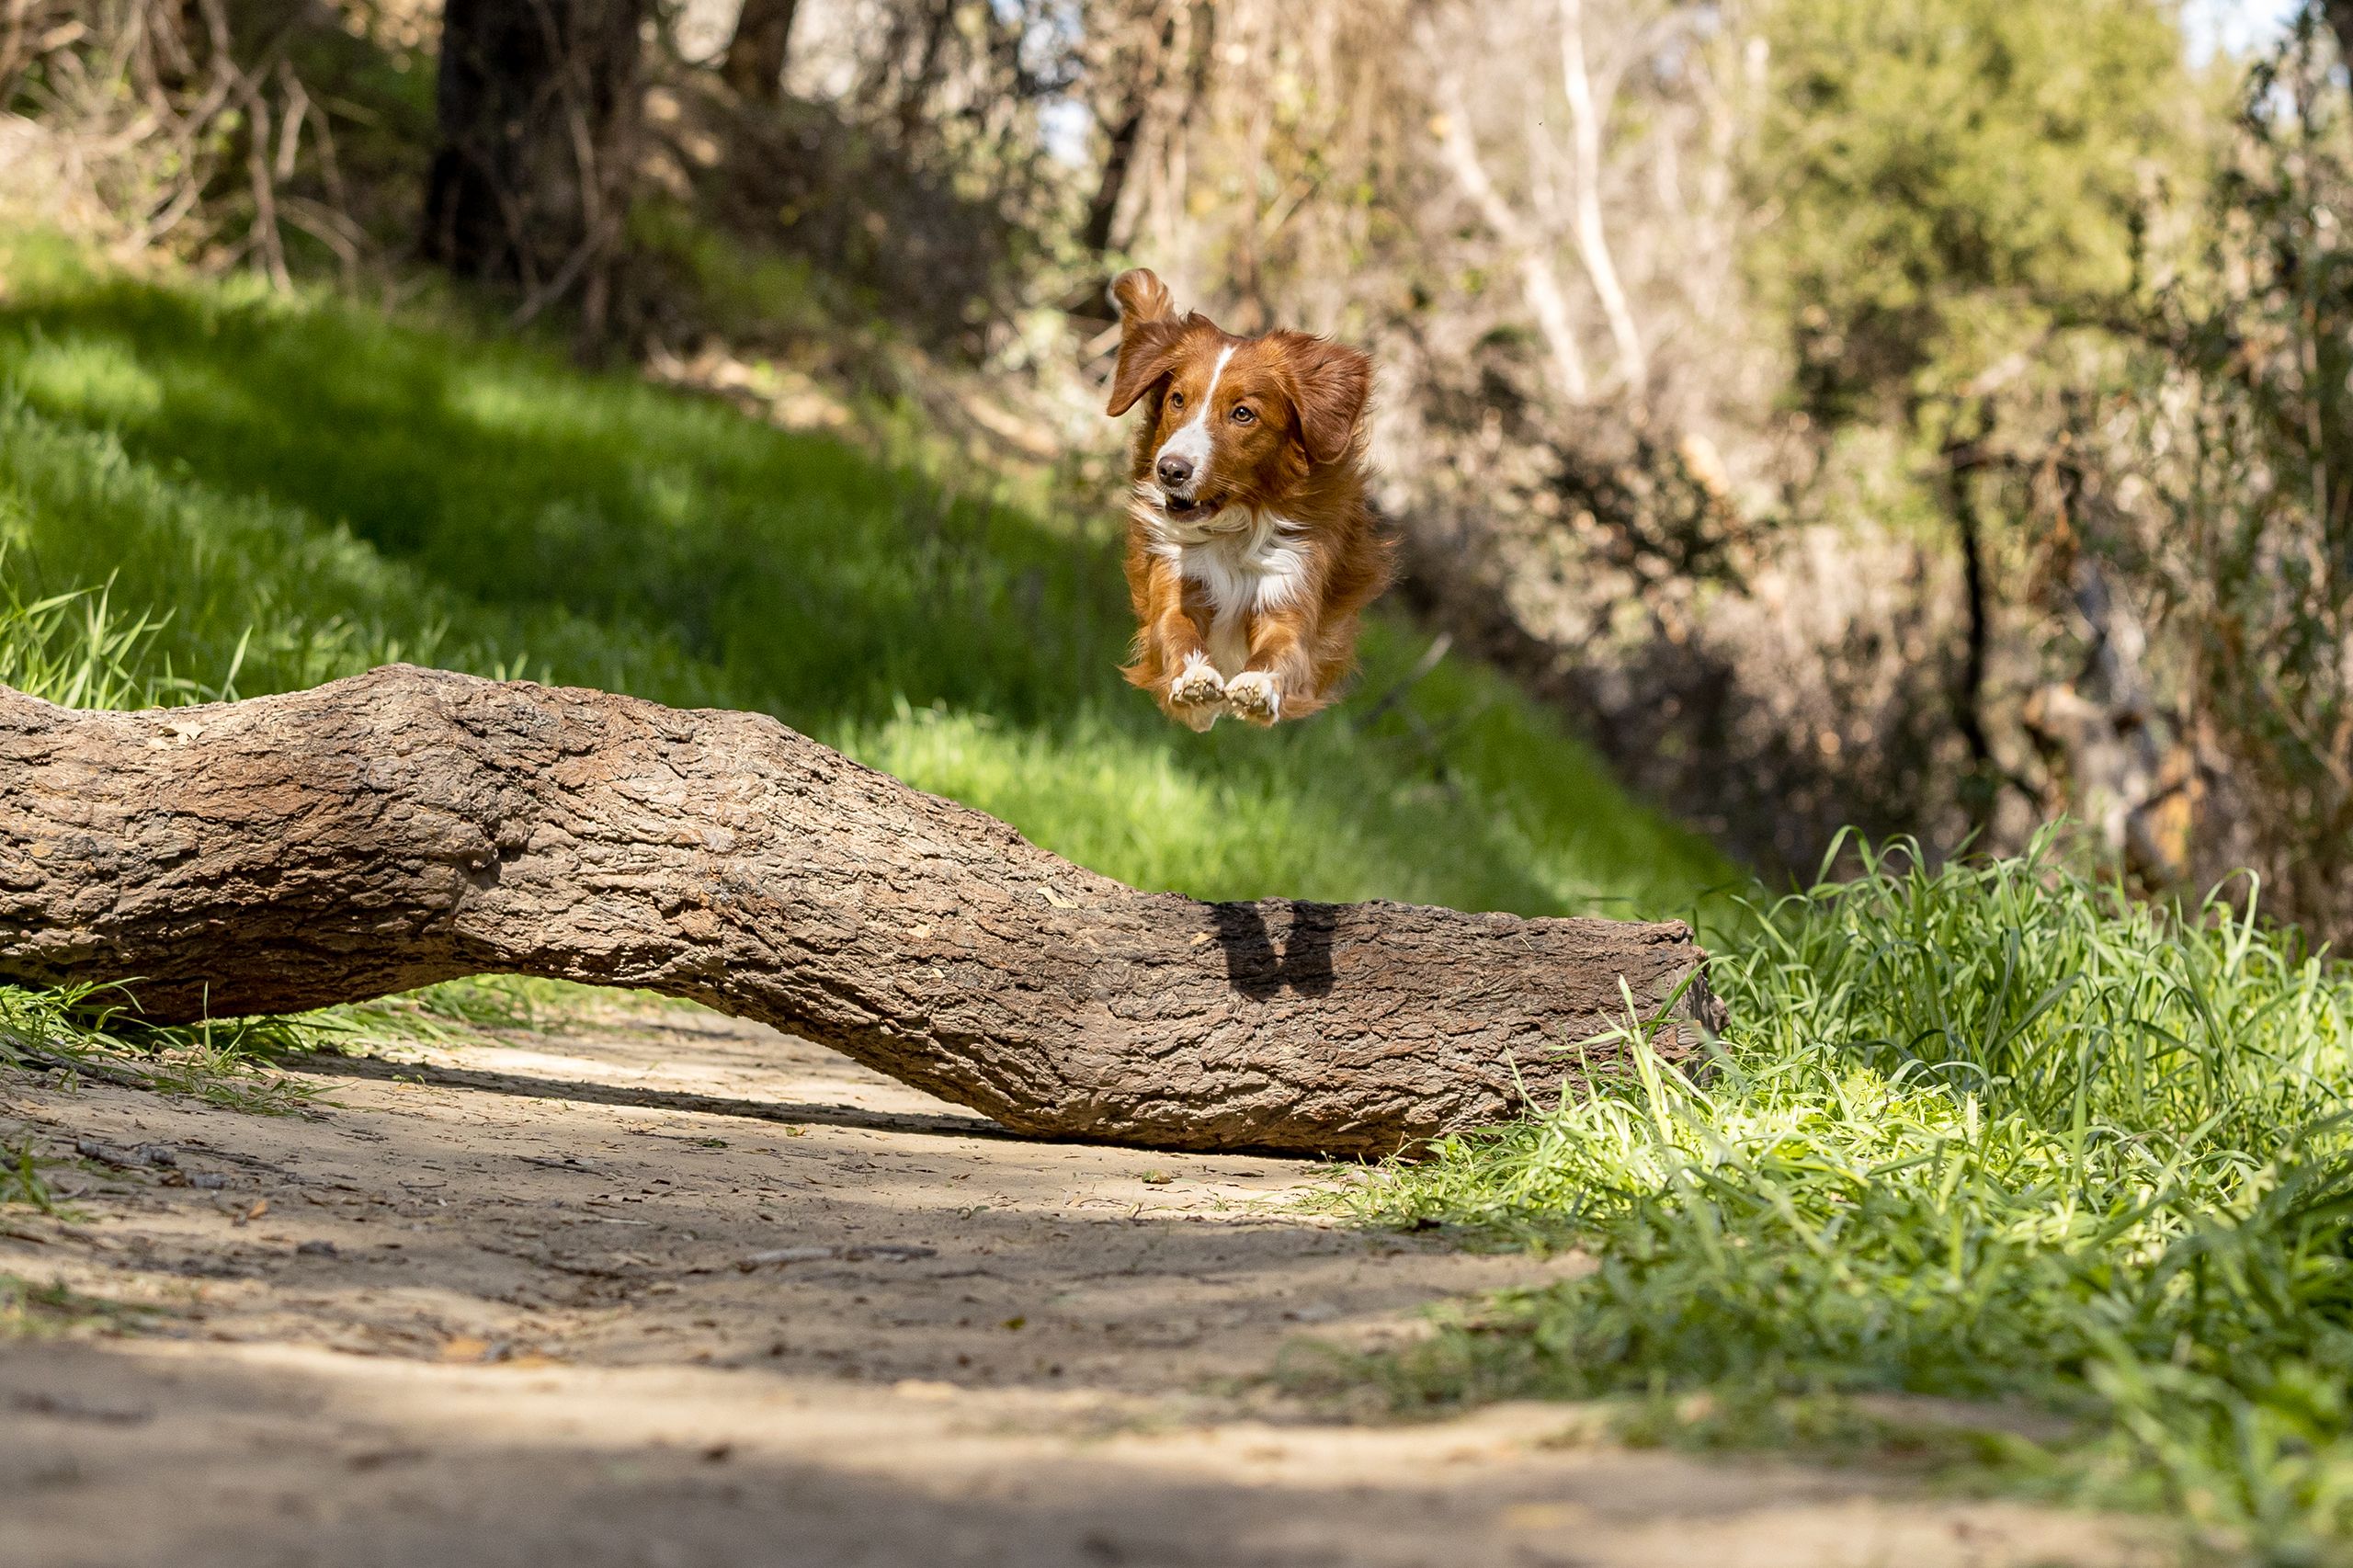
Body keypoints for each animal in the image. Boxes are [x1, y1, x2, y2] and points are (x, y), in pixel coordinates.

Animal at [1106, 267, 1392, 724]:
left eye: (1243, 413)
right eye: (1177, 400)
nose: (1170, 470)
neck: (1234, 528)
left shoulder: (1290, 588)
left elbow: (1281, 650)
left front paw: (1259, 686)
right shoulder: (1175, 578)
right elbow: (1175, 629)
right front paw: (1195, 681)